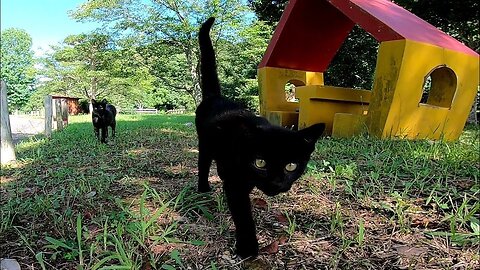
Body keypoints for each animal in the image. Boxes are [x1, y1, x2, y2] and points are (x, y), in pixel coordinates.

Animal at [195, 17, 326, 258]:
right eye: (260, 162)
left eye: (291, 166)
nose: (275, 183)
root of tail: (215, 96)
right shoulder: (236, 182)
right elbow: (243, 214)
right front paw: (247, 247)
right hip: (205, 144)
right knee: (203, 164)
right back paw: (203, 188)